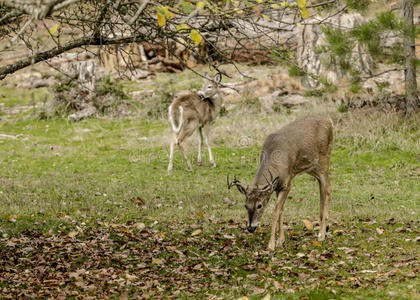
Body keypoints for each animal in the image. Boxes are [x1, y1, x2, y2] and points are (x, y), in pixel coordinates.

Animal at [228, 115, 334, 251]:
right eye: (246, 205)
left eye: (259, 205)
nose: (251, 228)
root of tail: (329, 121)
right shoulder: (277, 187)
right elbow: (281, 210)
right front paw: (280, 240)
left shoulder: (286, 184)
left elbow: (275, 211)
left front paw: (271, 244)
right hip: (312, 168)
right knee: (322, 186)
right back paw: (324, 227)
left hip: (324, 158)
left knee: (329, 187)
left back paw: (321, 234)